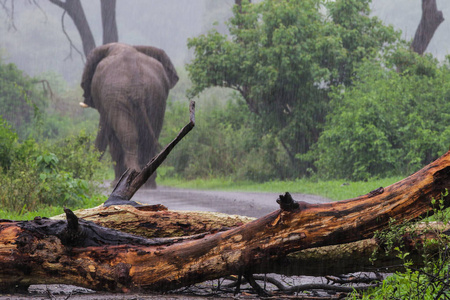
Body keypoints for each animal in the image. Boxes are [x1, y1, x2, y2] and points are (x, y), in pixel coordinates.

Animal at [80, 42, 178, 188]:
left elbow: (109, 133)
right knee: (149, 136)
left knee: (128, 135)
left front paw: (114, 183)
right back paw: (147, 183)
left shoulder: (106, 100)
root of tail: (137, 86)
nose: (84, 177)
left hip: (117, 95)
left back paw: (131, 177)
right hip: (156, 96)